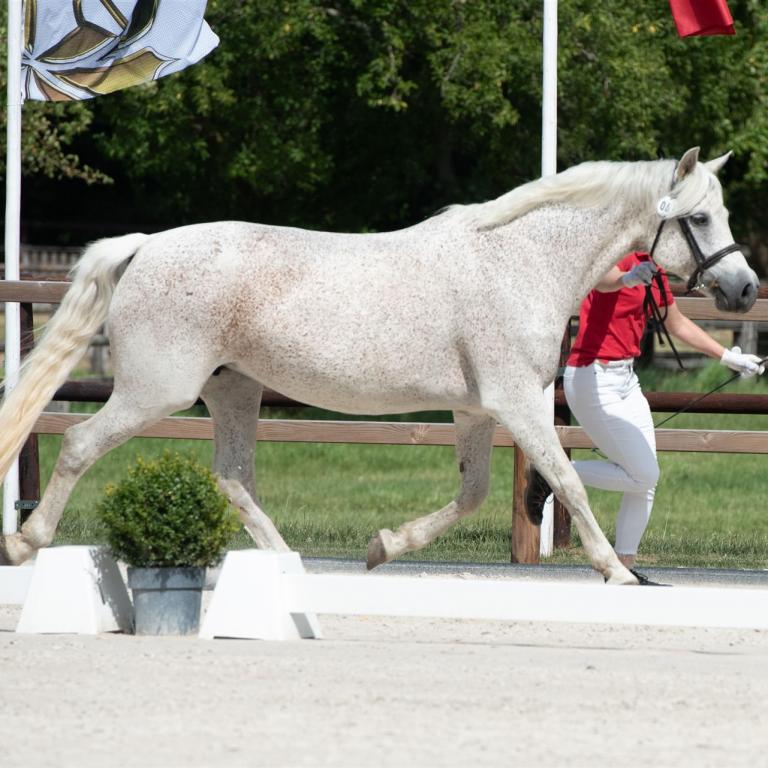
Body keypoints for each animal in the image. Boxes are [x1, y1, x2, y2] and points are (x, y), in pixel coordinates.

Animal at [0, 147, 757, 584]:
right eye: (701, 219)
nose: (745, 289)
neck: (521, 259)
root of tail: (146, 244)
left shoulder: (477, 409)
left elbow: (475, 492)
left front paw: (383, 546)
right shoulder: (518, 402)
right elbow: (566, 480)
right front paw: (614, 572)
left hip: (233, 392)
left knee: (233, 478)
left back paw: (288, 565)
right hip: (155, 391)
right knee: (79, 443)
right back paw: (25, 542)